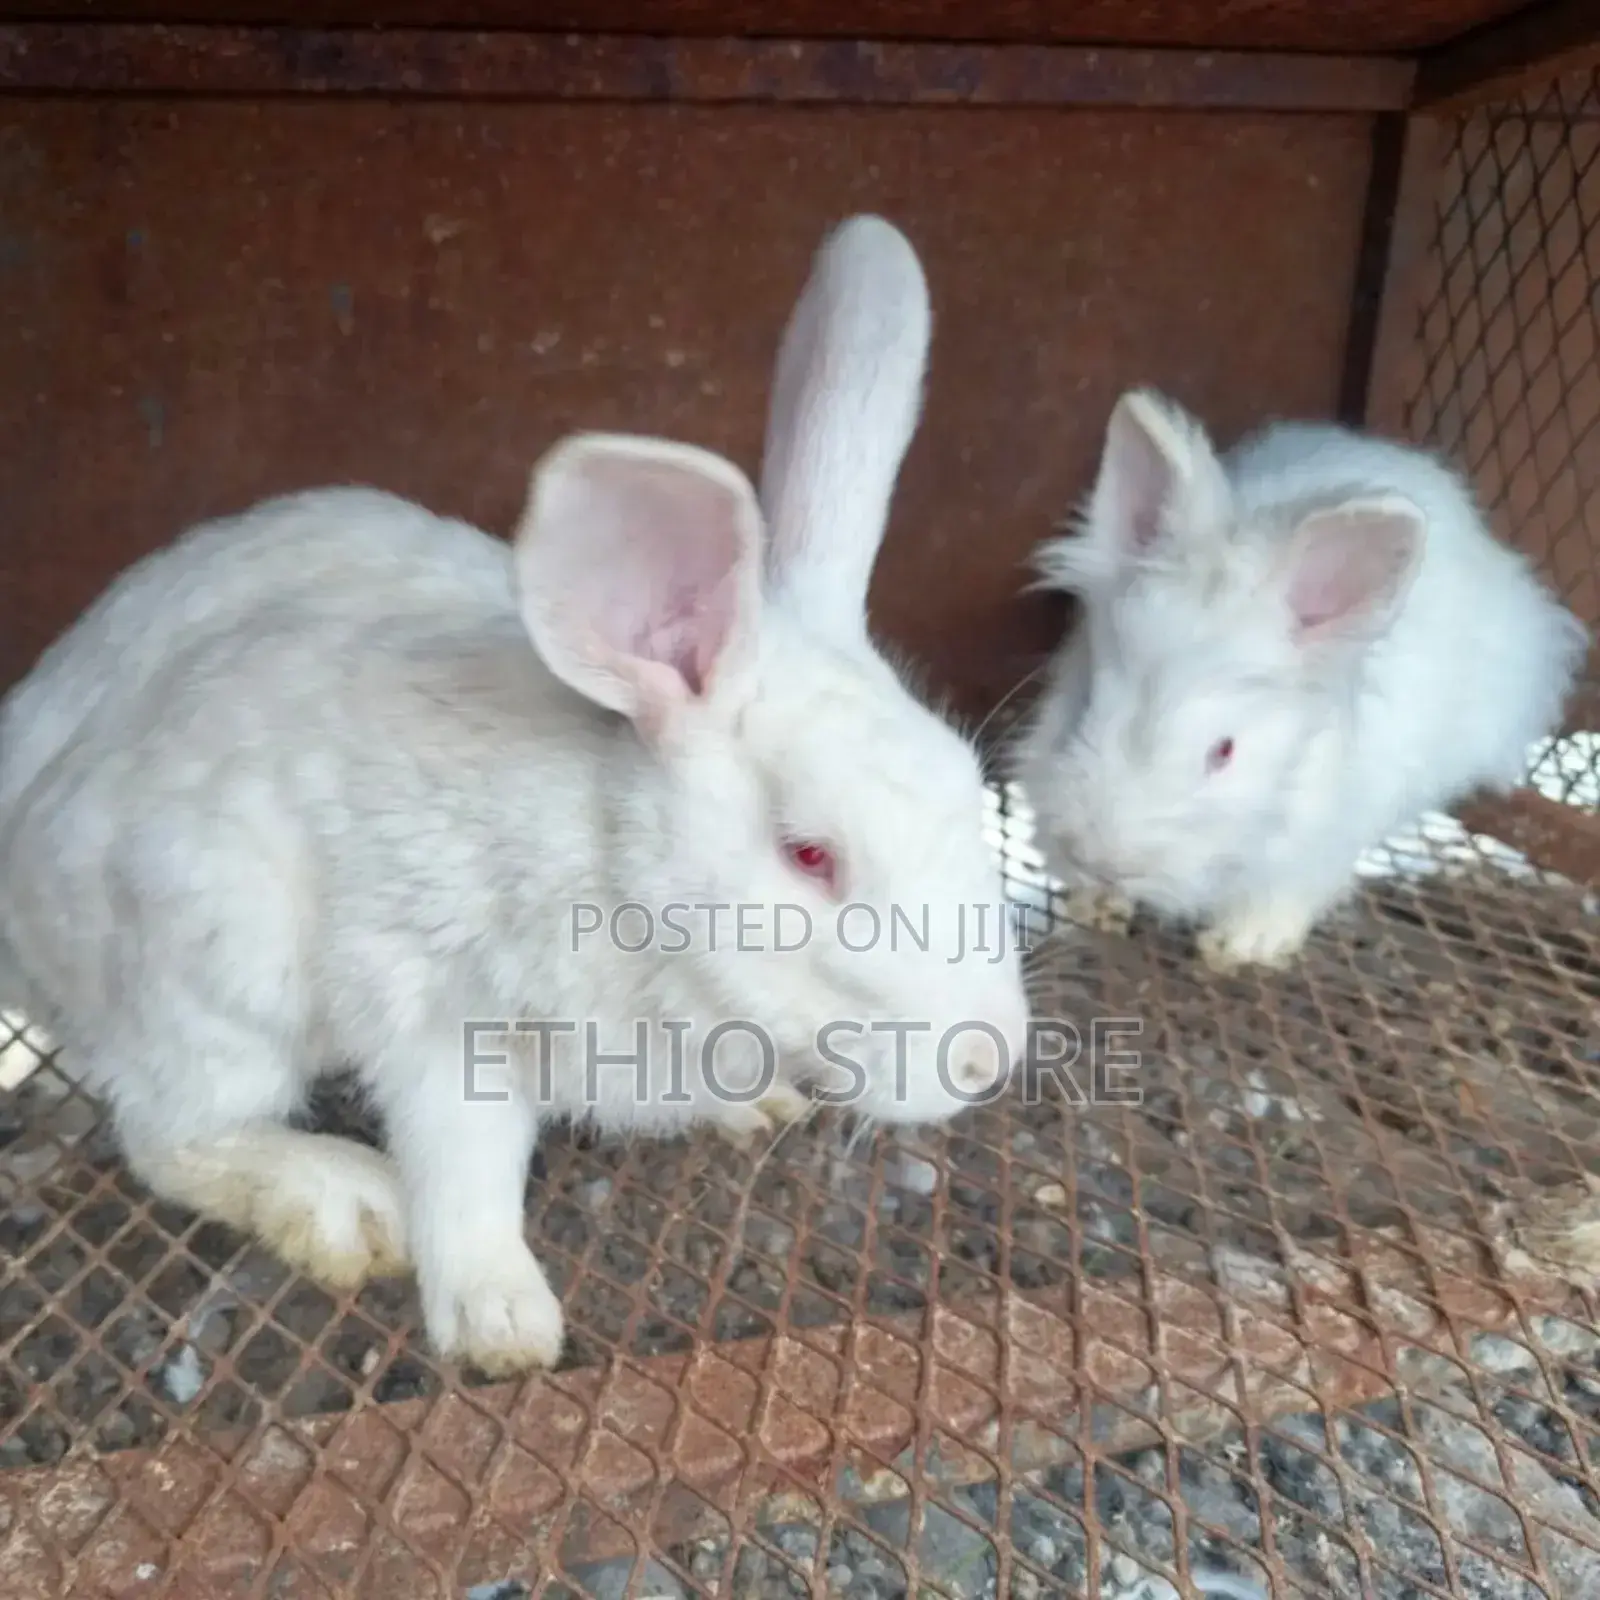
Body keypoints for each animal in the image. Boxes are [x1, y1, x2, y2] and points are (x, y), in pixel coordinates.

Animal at [0, 215, 1032, 1377]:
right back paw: (345, 1201)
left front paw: (754, 1103)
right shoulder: (443, 1006)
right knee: (172, 1135)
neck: (616, 864)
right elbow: (464, 1167)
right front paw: (501, 1323)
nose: (990, 1058)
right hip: (212, 967)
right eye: (809, 854)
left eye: (970, 793)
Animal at [1011, 385, 1590, 974]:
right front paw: (1096, 903)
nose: (1101, 859)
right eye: (1085, 702)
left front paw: (1244, 943)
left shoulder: (1322, 837)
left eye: (1224, 751)